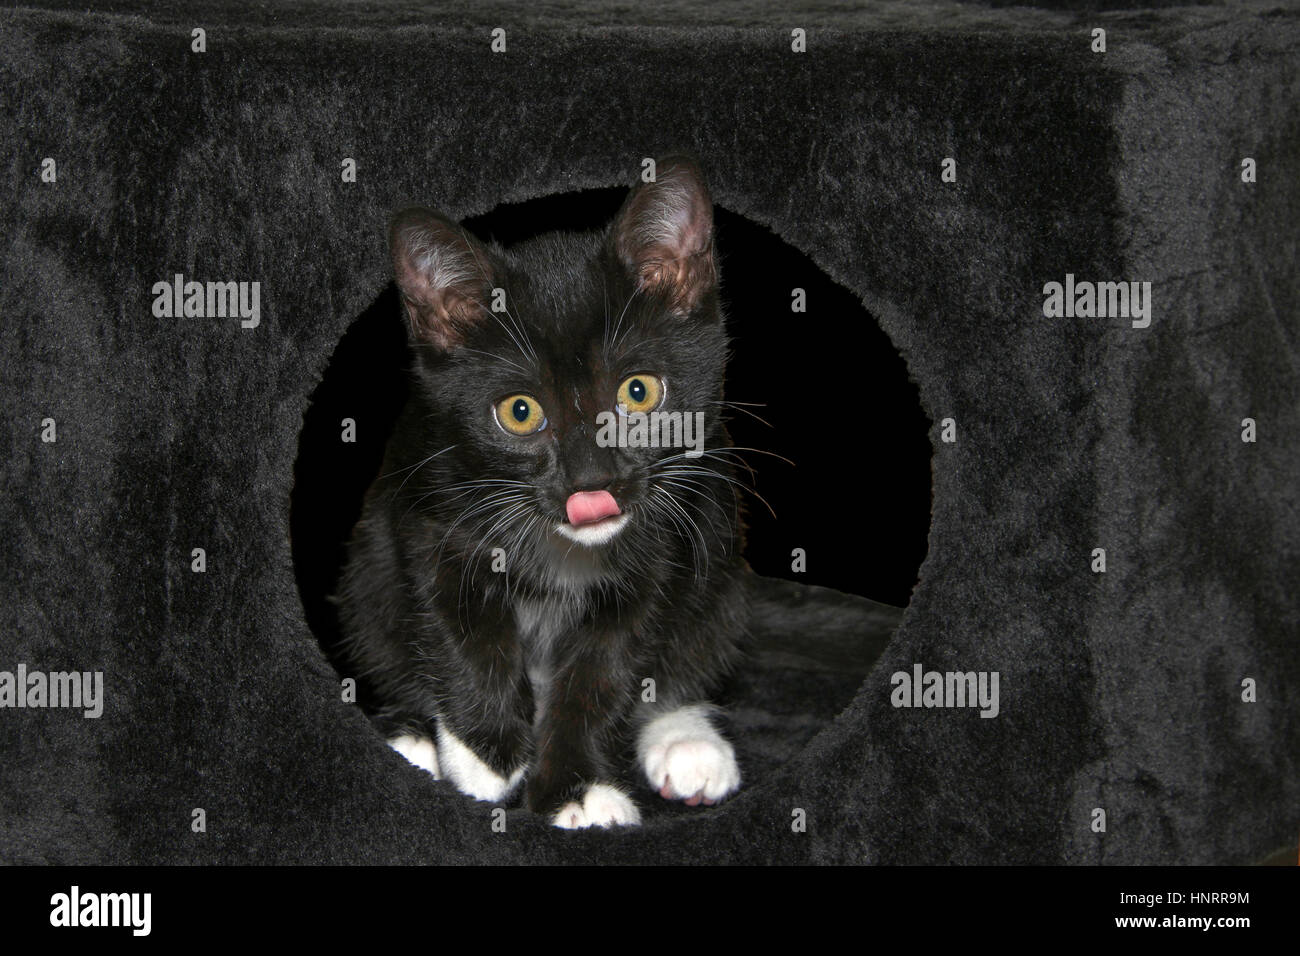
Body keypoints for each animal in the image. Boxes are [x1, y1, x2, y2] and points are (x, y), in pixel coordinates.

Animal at [335, 157, 754, 832]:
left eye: (639, 393)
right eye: (520, 412)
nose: (591, 485)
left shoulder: (659, 554)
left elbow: (605, 672)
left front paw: (574, 791)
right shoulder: (431, 516)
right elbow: (458, 626)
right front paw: (485, 757)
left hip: (718, 548)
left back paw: (687, 739)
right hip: (366, 570)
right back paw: (412, 740)